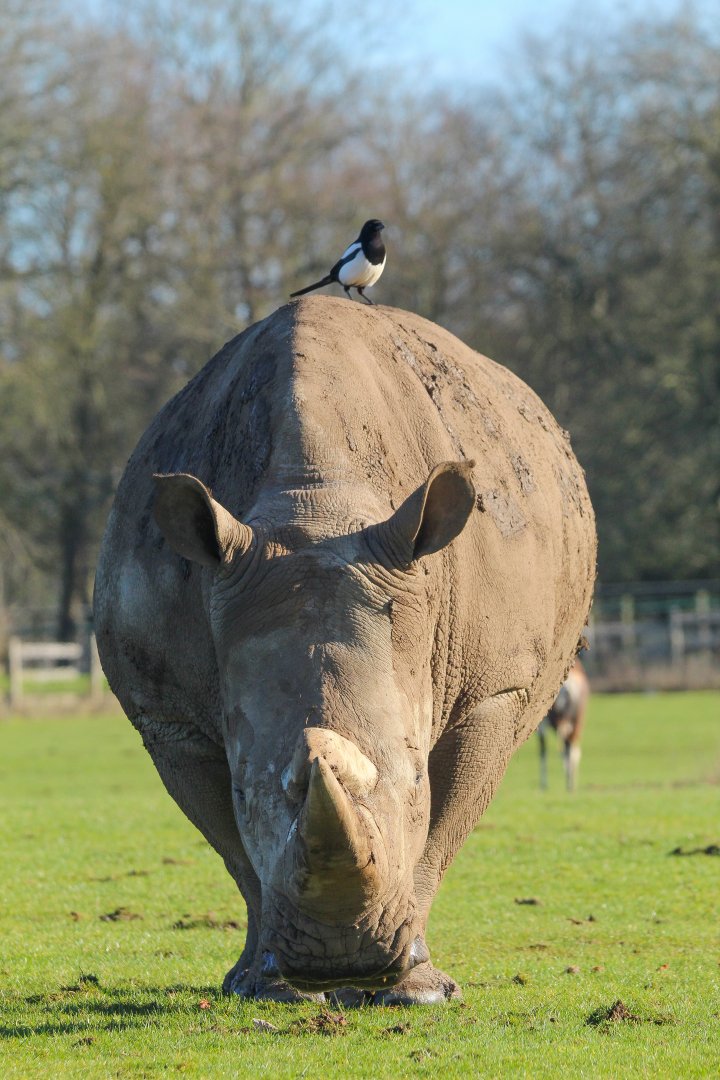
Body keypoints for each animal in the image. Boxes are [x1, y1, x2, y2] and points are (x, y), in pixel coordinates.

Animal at [94, 297, 595, 1005]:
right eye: (249, 793)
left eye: (414, 785)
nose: (340, 960)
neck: (315, 506)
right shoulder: (168, 714)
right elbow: (234, 849)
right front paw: (265, 984)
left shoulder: (495, 690)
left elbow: (442, 829)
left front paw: (417, 988)